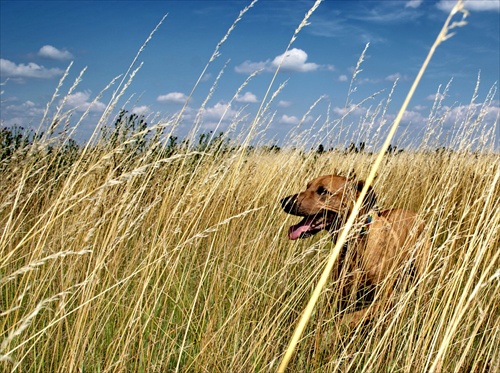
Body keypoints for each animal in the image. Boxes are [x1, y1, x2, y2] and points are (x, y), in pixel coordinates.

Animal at [280, 174, 428, 326]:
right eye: (307, 186)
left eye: (323, 191)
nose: (284, 201)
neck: (355, 243)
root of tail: (415, 215)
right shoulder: (342, 295)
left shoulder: (384, 298)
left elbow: (349, 318)